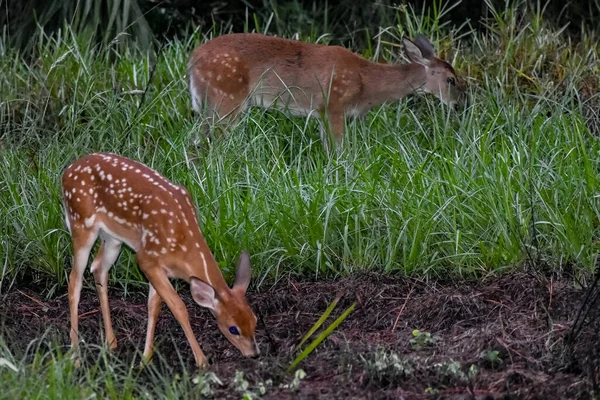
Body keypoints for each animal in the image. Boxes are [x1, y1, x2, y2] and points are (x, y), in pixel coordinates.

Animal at [62, 154, 258, 368]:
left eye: (255, 320)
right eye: (233, 328)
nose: (254, 354)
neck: (183, 248)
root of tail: (67, 171)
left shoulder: (158, 266)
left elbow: (154, 307)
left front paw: (145, 359)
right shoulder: (147, 258)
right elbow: (179, 308)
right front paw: (201, 360)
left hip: (113, 238)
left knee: (98, 268)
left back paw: (112, 343)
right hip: (81, 222)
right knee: (74, 281)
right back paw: (75, 356)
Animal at [190, 33, 466, 148]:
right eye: (451, 80)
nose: (459, 105)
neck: (366, 83)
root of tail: (192, 61)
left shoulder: (321, 113)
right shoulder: (334, 105)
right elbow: (340, 150)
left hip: (209, 104)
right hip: (228, 98)